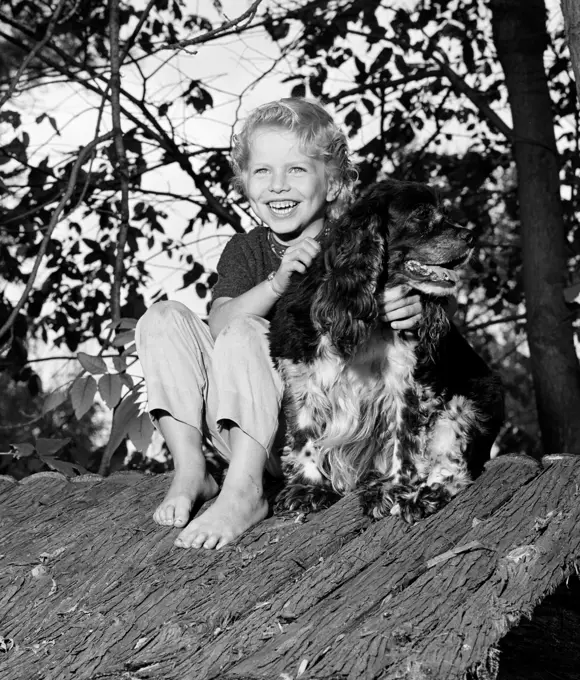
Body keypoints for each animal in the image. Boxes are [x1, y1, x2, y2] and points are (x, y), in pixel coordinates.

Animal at [270, 178, 506, 524]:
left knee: (454, 467)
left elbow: (403, 440)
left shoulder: (406, 381)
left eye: (445, 212)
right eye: (422, 214)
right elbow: (304, 435)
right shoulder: (301, 373)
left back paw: (424, 496)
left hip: (470, 400)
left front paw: (393, 489)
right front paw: (307, 488)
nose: (471, 236)